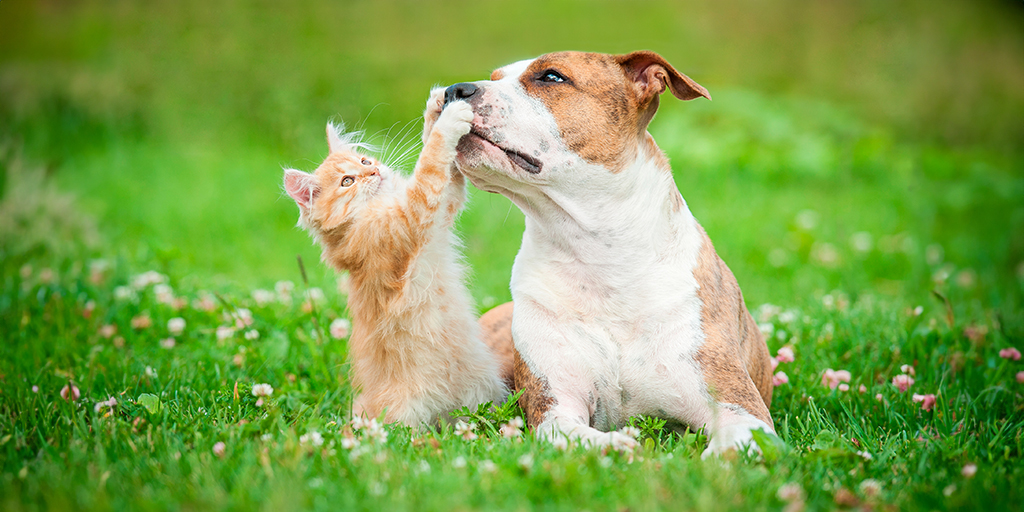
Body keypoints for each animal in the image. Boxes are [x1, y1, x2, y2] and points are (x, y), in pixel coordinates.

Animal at [284, 96, 507, 428]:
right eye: (347, 182)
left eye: (364, 162)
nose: (374, 172)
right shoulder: (409, 218)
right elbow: (430, 162)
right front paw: (449, 119)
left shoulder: (441, 211)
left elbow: (446, 173)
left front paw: (436, 107)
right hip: (405, 414)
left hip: (484, 391)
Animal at [452, 49, 770, 456]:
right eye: (494, 77)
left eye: (551, 77)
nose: (453, 89)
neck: (599, 257)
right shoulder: (555, 408)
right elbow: (581, 437)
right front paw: (623, 446)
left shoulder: (741, 410)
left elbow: (729, 448)